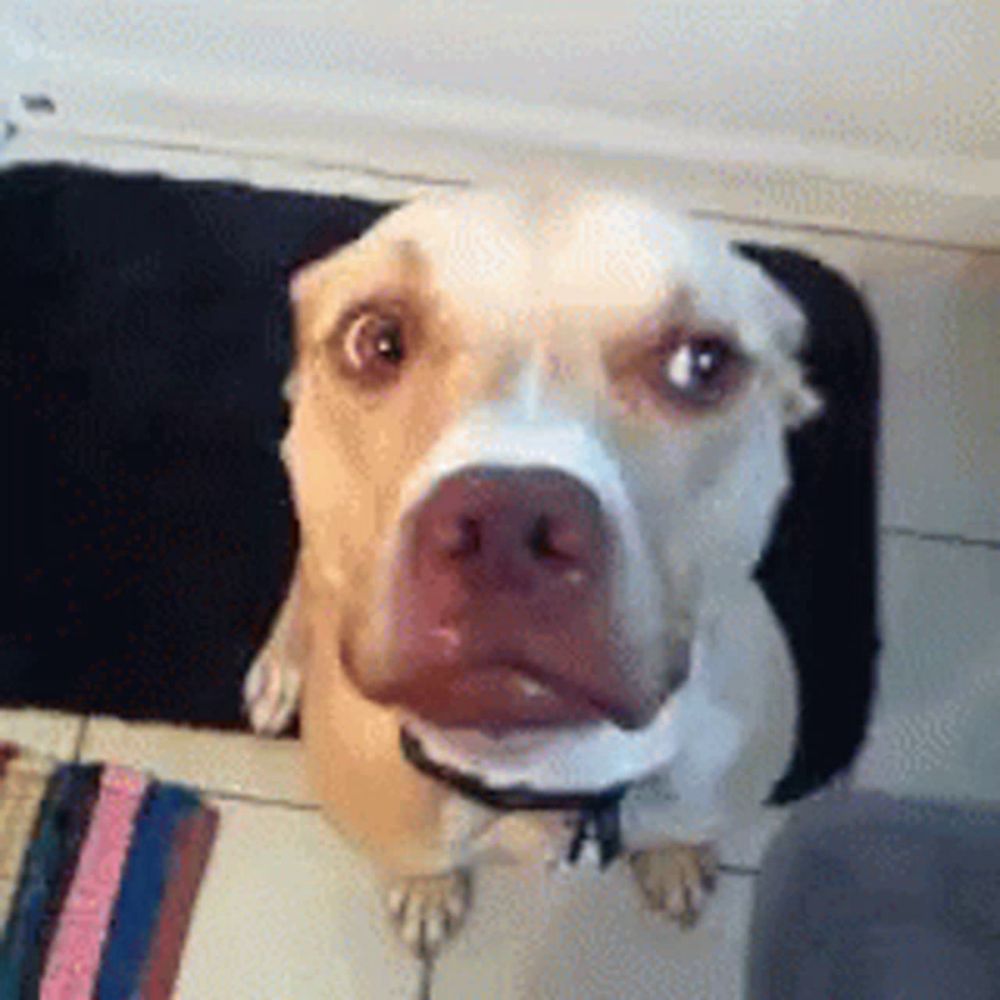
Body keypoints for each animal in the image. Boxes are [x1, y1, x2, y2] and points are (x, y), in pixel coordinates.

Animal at [244, 184, 820, 956]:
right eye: (375, 338)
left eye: (701, 363)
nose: (507, 527)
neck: (542, 777)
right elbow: (417, 859)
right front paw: (426, 890)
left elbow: (684, 827)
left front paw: (673, 857)